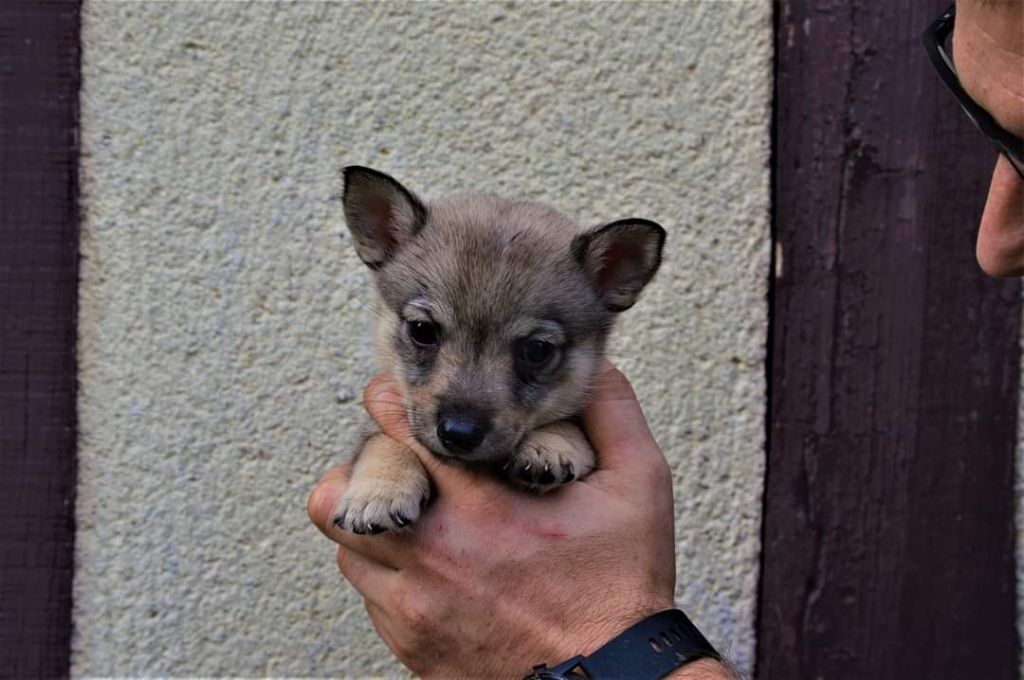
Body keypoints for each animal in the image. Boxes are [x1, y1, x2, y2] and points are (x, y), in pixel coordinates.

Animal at [333, 166, 665, 534]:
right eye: (422, 331)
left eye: (537, 350)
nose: (459, 434)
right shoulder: (377, 427)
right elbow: (381, 442)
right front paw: (378, 491)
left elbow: (568, 424)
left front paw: (550, 444)